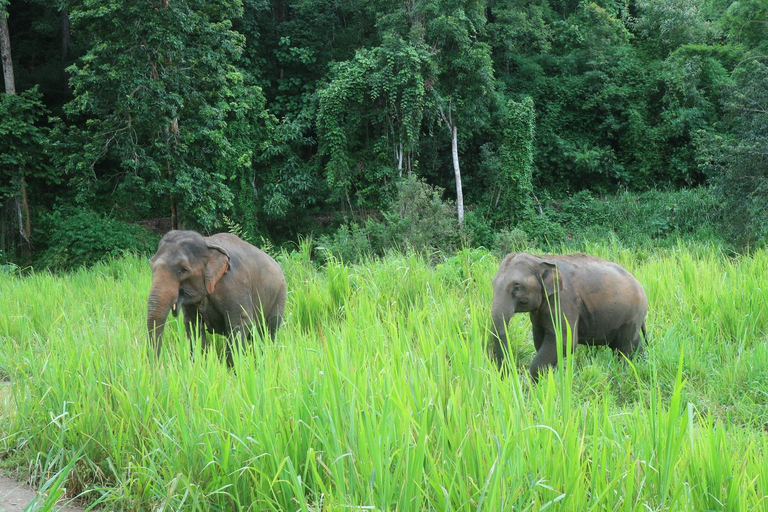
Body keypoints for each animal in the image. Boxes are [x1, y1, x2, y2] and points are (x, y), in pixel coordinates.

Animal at [147, 228, 284, 364]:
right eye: (151, 265)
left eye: (183, 269)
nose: (156, 365)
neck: (207, 243)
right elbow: (193, 324)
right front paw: (197, 364)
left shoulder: (235, 286)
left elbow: (240, 323)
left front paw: (232, 368)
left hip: (280, 295)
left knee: (270, 329)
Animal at [488, 251, 644, 380]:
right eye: (493, 284)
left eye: (517, 287)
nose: (506, 377)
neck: (540, 259)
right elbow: (539, 339)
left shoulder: (564, 301)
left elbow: (564, 341)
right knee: (634, 345)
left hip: (632, 316)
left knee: (624, 349)